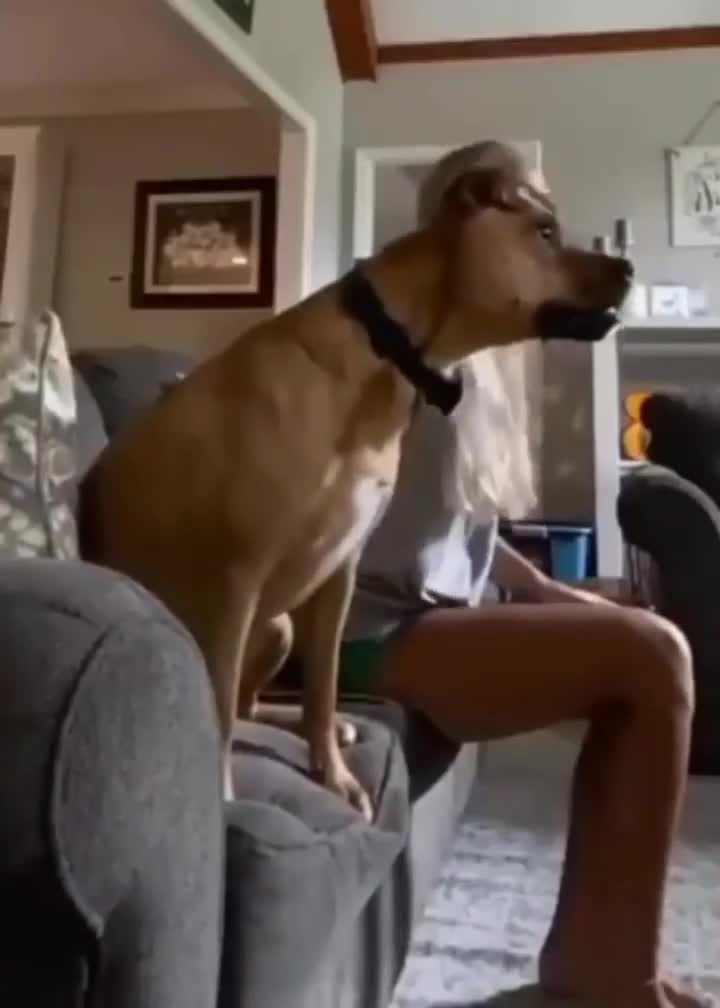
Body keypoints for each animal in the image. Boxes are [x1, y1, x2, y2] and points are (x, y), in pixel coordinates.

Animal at [82, 147, 632, 818]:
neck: (387, 351)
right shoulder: (236, 577)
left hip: (281, 627)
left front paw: (334, 773)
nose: (629, 266)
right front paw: (223, 794)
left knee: (254, 705)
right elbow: (217, 702)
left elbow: (322, 688)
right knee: (233, 704)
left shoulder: (337, 574)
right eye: (545, 232)